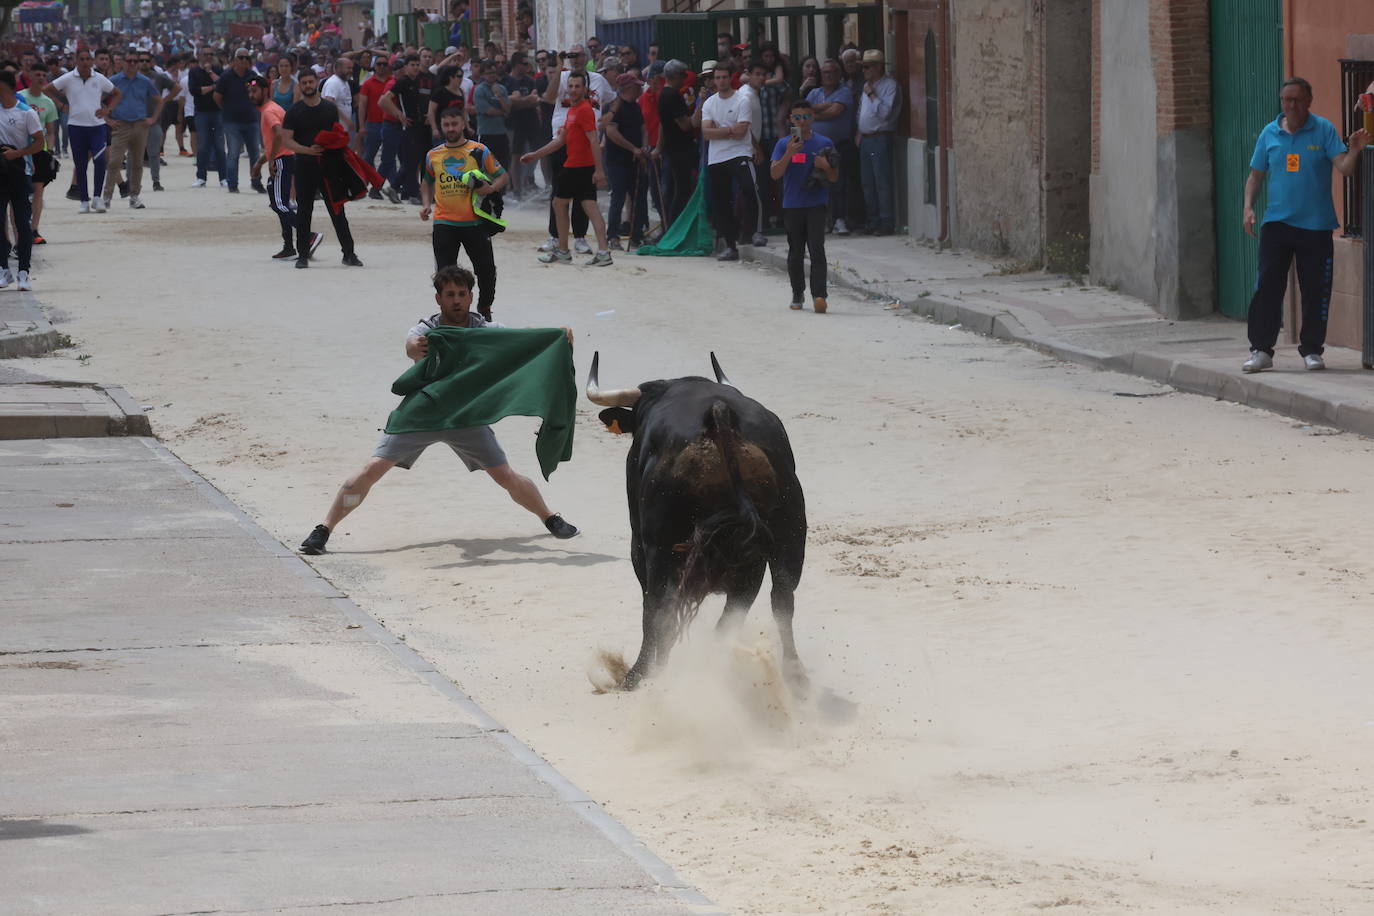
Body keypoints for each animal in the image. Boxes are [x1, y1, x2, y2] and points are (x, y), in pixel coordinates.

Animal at [582, 354, 802, 692]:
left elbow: (654, 607)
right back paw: (791, 675)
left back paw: (644, 673)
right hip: (785, 537)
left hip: (659, 546)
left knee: (659, 606)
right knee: (778, 600)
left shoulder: (642, 543)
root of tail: (719, 413)